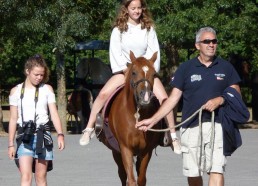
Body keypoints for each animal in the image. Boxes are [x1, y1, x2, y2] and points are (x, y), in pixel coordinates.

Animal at [100, 51, 163, 186]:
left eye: (154, 74)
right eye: (133, 72)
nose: (145, 96)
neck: (135, 115)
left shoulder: (146, 151)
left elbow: (141, 179)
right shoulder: (125, 149)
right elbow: (131, 180)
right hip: (116, 152)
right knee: (122, 174)